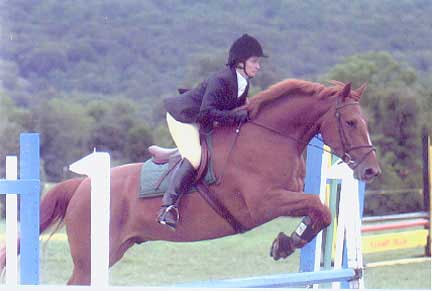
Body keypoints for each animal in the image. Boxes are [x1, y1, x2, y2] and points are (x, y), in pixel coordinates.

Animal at [0, 79, 380, 286]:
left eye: (364, 121)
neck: (272, 137)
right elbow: (319, 208)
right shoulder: (263, 202)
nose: (371, 171)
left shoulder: (287, 195)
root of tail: (81, 186)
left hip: (111, 251)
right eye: (350, 122)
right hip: (92, 257)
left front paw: (286, 242)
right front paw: (286, 243)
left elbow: (319, 213)